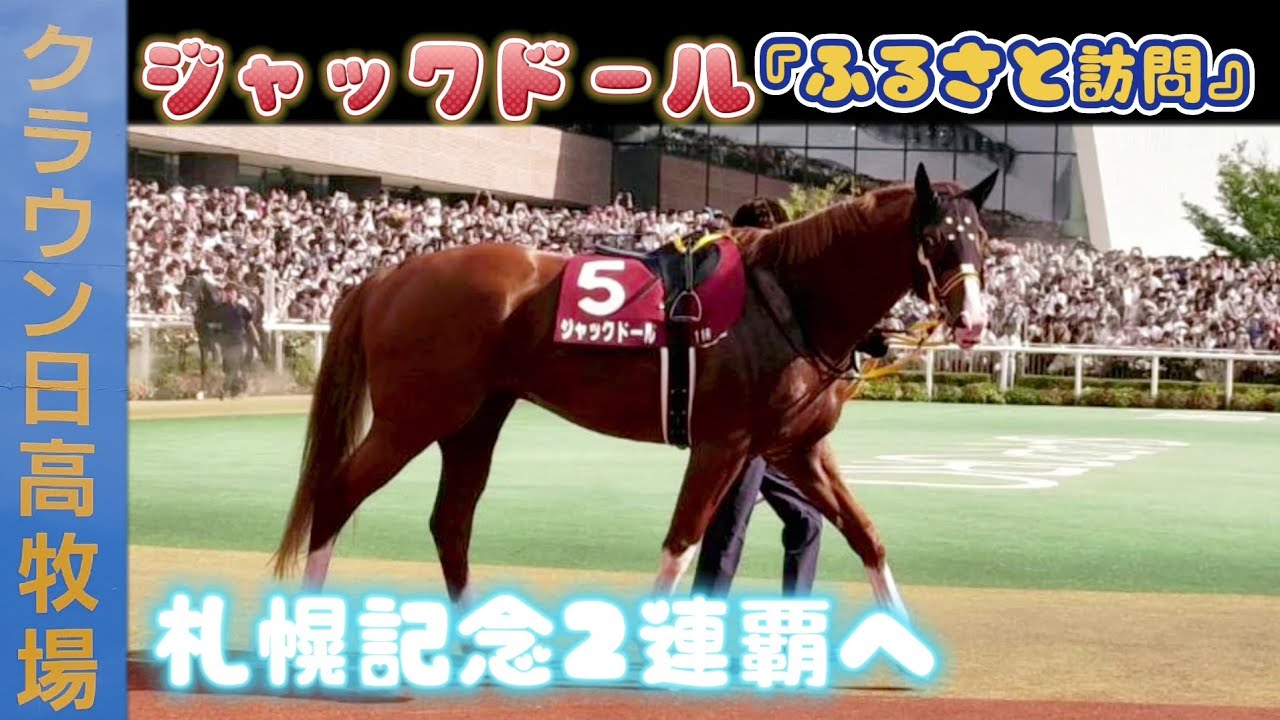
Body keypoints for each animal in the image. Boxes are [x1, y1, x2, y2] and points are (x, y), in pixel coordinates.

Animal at [271, 164, 998, 621]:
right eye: (936, 240)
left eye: (983, 240)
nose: (972, 322)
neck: (789, 296)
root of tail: (387, 278)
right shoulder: (722, 445)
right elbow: (684, 541)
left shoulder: (799, 449)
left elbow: (866, 535)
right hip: (415, 417)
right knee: (336, 493)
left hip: (473, 421)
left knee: (450, 521)